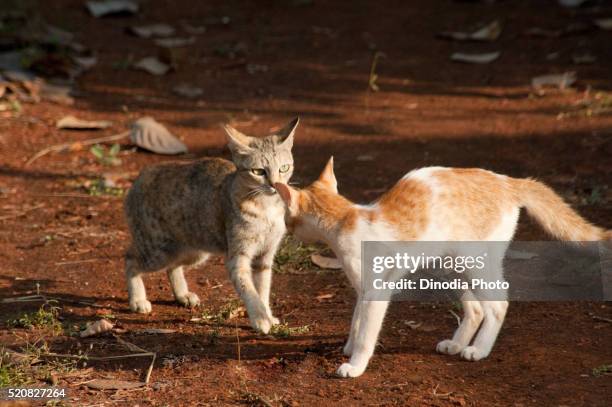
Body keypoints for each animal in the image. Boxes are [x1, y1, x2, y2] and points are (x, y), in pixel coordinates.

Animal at [123, 118, 298, 334]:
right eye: (258, 171)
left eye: (284, 168)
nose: (275, 185)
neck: (266, 208)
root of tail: (140, 176)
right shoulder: (237, 257)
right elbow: (250, 291)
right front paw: (260, 318)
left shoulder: (265, 256)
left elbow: (263, 289)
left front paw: (267, 314)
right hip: (158, 251)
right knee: (130, 259)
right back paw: (138, 300)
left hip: (193, 251)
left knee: (172, 267)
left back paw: (182, 295)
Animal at [274, 158, 608, 378]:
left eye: (287, 218)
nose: (286, 229)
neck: (346, 219)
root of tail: (507, 181)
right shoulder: (363, 289)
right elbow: (357, 320)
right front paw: (348, 345)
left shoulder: (377, 291)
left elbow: (368, 331)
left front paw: (355, 364)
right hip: (453, 268)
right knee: (476, 309)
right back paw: (458, 344)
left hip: (474, 265)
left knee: (498, 304)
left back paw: (479, 350)